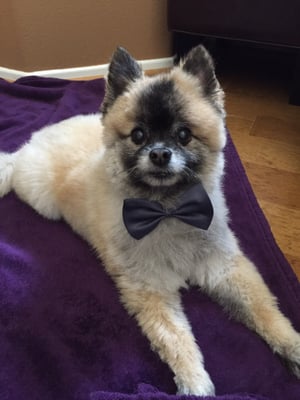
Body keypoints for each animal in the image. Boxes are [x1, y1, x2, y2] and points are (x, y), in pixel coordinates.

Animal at [0, 45, 300, 396]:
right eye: (138, 135)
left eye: (184, 135)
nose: (159, 154)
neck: (168, 210)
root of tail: (34, 141)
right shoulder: (151, 287)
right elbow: (178, 341)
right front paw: (196, 384)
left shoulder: (224, 267)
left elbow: (266, 311)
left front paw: (292, 347)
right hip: (40, 197)